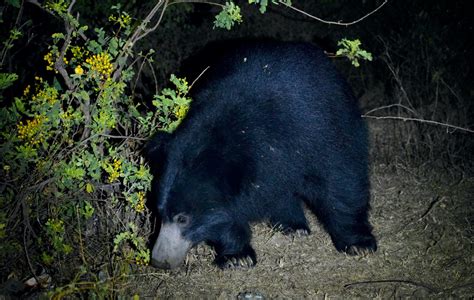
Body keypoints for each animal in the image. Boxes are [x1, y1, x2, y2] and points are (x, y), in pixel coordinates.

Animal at [146, 40, 376, 270]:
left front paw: (359, 244)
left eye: (182, 218)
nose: (159, 260)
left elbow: (340, 178)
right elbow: (225, 217)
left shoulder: (315, 129)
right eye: (159, 212)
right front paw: (237, 256)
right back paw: (292, 224)